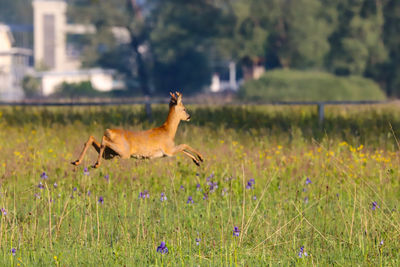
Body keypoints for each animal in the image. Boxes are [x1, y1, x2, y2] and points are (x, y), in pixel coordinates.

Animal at [71, 91, 203, 168]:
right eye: (184, 108)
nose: (189, 117)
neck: (168, 131)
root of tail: (110, 131)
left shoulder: (170, 150)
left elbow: (183, 149)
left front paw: (197, 161)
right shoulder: (168, 150)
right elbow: (184, 145)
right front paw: (201, 158)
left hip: (110, 154)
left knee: (92, 138)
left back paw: (77, 161)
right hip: (123, 152)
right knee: (103, 141)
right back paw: (95, 164)